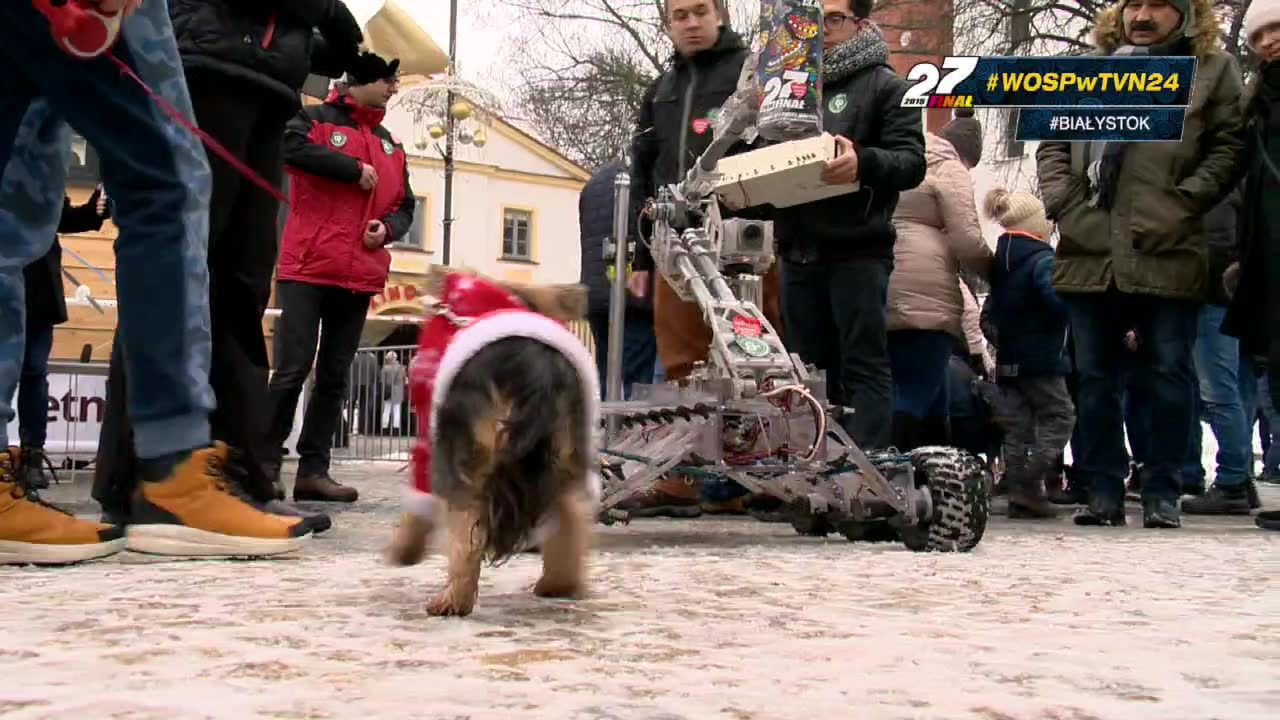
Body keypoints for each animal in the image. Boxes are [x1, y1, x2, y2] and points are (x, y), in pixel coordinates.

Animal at [384, 266, 599, 614]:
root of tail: (535, 371)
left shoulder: (431, 439)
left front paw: (404, 551)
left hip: (470, 455)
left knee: (467, 529)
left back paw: (450, 601)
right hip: (566, 450)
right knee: (571, 514)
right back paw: (559, 585)